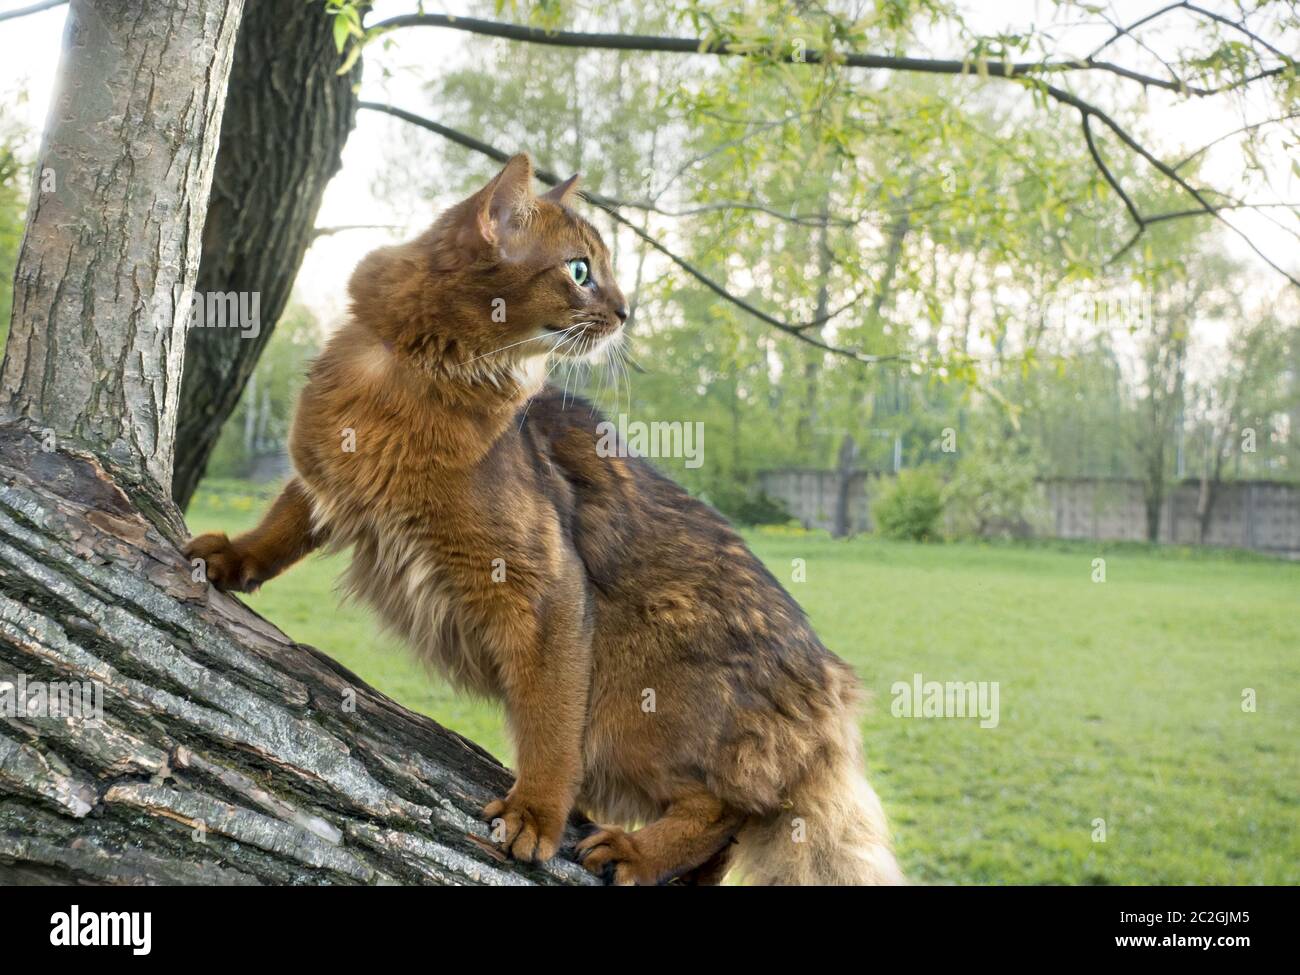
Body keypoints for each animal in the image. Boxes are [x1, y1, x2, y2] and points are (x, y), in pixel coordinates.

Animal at [188, 154, 904, 883]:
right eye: (580, 269)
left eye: (599, 269)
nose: (624, 311)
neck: (417, 374)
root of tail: (834, 685)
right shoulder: (333, 478)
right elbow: (285, 519)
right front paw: (232, 557)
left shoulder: (548, 589)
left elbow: (551, 727)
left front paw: (536, 813)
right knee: (732, 831)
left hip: (635, 703)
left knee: (725, 809)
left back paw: (637, 851)